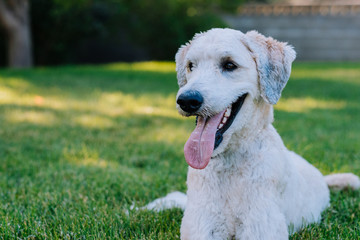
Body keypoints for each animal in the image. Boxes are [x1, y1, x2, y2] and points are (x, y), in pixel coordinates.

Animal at [144, 28, 360, 240]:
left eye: (229, 65)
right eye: (191, 66)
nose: (186, 100)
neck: (230, 163)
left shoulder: (260, 226)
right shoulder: (202, 225)